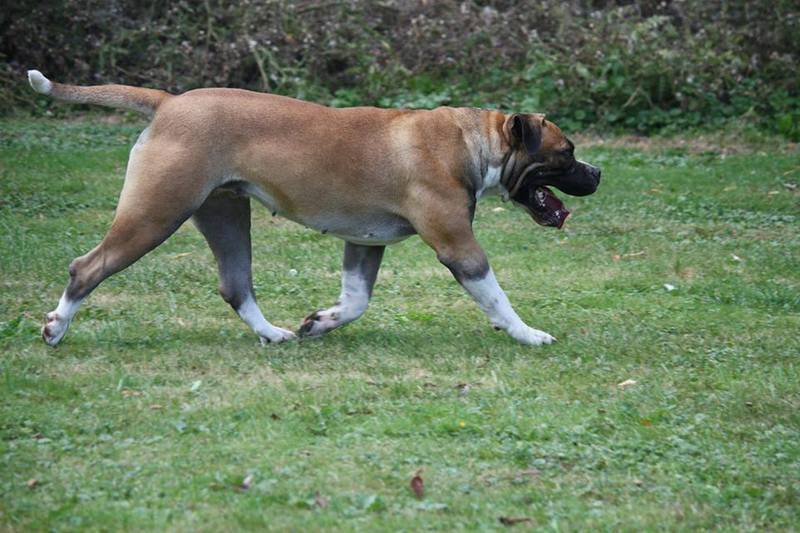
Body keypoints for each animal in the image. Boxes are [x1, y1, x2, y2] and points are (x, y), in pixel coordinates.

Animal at [27, 69, 599, 347]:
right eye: (566, 151)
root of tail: (169, 103)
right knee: (87, 268)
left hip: (225, 216)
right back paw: (56, 329)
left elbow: (356, 300)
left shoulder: (364, 245)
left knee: (235, 286)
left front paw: (320, 323)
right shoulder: (460, 247)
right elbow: (497, 298)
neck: (471, 141)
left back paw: (273, 334)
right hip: (153, 215)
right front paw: (528, 334)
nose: (596, 173)